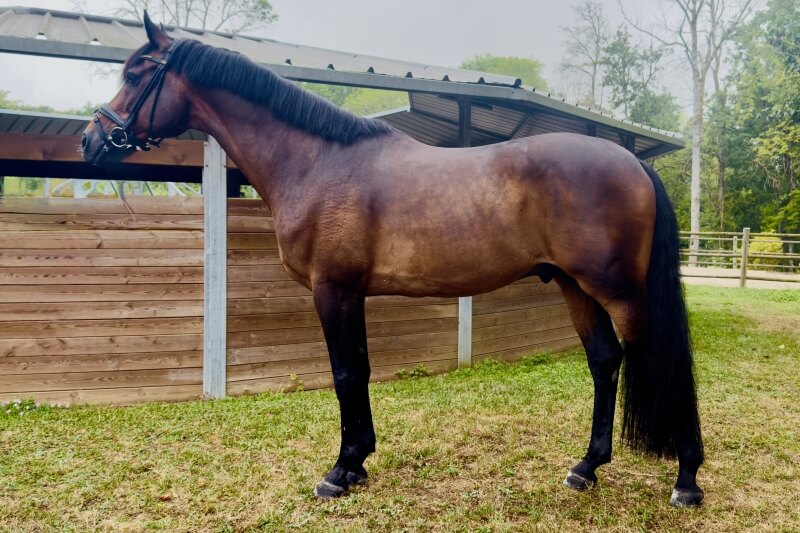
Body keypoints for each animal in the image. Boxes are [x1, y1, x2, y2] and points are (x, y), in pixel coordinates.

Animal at [81, 13, 705, 507]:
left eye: (135, 74)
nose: (92, 139)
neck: (319, 162)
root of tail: (632, 162)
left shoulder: (332, 289)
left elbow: (344, 373)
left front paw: (339, 471)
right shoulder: (350, 292)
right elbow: (358, 370)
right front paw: (357, 462)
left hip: (619, 292)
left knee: (665, 362)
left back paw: (687, 479)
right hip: (575, 287)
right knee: (604, 362)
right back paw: (586, 467)